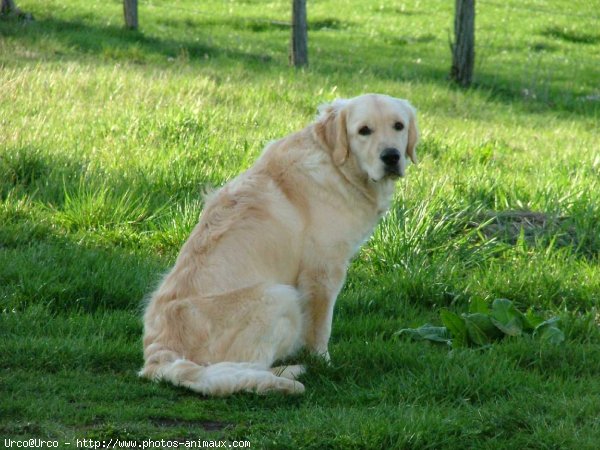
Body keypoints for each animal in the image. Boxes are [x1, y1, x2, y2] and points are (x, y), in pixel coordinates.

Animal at [140, 93, 420, 396]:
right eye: (364, 130)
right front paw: (323, 363)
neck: (337, 165)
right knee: (246, 367)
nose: (391, 156)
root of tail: (158, 357)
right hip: (281, 297)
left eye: (398, 126)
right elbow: (320, 329)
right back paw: (289, 373)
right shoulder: (323, 270)